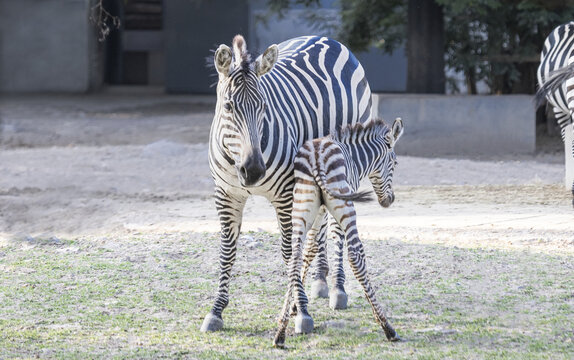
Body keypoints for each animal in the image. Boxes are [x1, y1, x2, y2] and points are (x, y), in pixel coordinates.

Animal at [202, 34, 374, 332]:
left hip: (341, 165)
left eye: (264, 107)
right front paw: (216, 310)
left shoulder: (284, 194)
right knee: (320, 224)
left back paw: (338, 289)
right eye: (228, 107)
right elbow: (227, 252)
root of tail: (327, 38)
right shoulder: (226, 194)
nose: (253, 171)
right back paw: (320, 280)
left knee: (337, 229)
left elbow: (289, 251)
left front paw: (300, 310)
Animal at [274, 117, 404, 346]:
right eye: (395, 163)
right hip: (345, 206)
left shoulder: (318, 212)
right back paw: (388, 328)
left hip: (300, 208)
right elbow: (335, 239)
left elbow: (309, 251)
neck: (355, 156)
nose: (390, 200)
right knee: (355, 256)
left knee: (293, 256)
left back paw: (280, 334)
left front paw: (295, 307)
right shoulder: (335, 207)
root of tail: (317, 158)